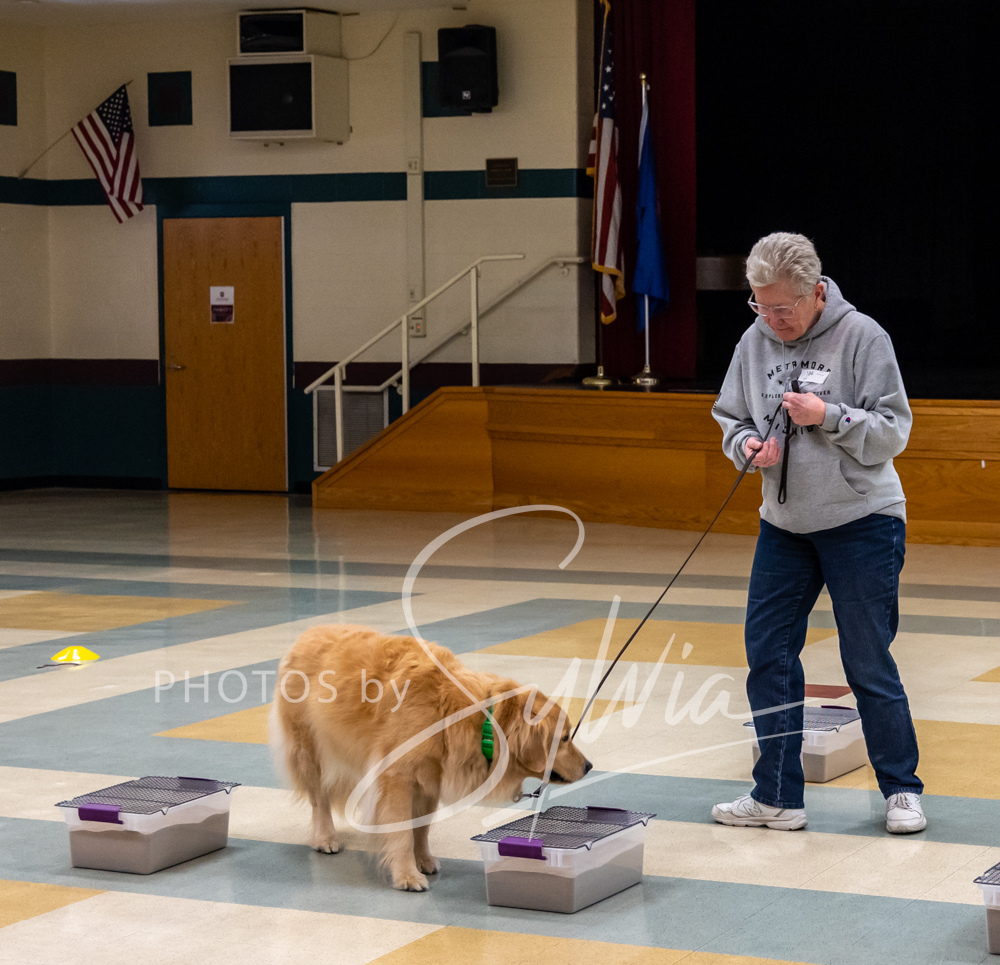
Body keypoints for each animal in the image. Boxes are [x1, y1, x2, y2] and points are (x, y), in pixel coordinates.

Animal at [271, 624, 592, 891]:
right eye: (565, 738)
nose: (589, 766)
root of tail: (308, 632)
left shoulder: (429, 780)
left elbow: (420, 829)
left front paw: (423, 859)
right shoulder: (397, 779)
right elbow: (401, 832)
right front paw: (406, 874)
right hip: (309, 751)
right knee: (320, 799)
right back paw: (325, 837)